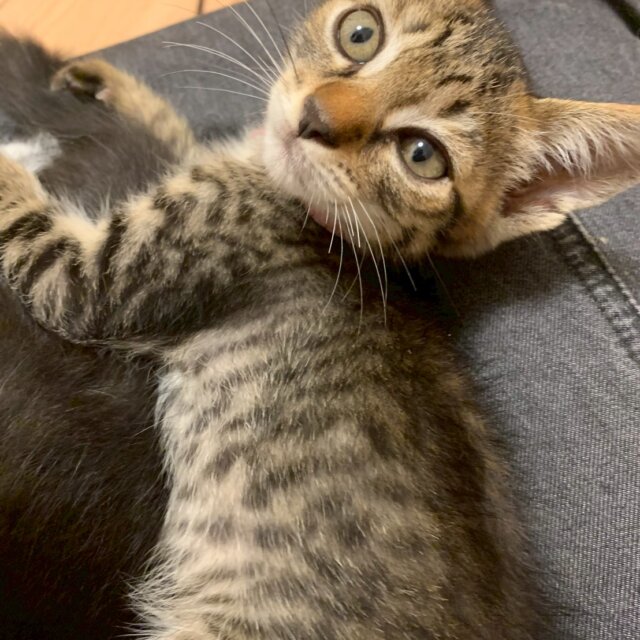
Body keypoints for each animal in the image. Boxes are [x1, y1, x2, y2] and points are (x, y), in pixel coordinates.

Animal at [0, 1, 639, 639]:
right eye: (360, 33)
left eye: (422, 155)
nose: (314, 118)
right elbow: (179, 138)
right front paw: (114, 84)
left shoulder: (96, 280)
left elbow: (37, 237)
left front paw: (11, 156)